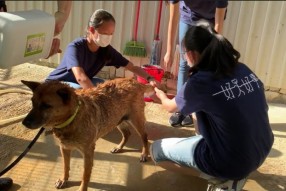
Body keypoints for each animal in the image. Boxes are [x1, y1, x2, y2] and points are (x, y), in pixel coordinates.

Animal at [21, 77, 154, 191]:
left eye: (46, 106)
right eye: (32, 102)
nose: (24, 123)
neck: (72, 118)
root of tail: (135, 81)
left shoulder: (88, 153)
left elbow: (85, 175)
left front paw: (81, 188)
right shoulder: (64, 148)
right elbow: (65, 166)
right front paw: (64, 180)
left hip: (136, 121)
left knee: (145, 137)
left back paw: (144, 154)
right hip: (117, 120)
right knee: (127, 134)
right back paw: (118, 147)